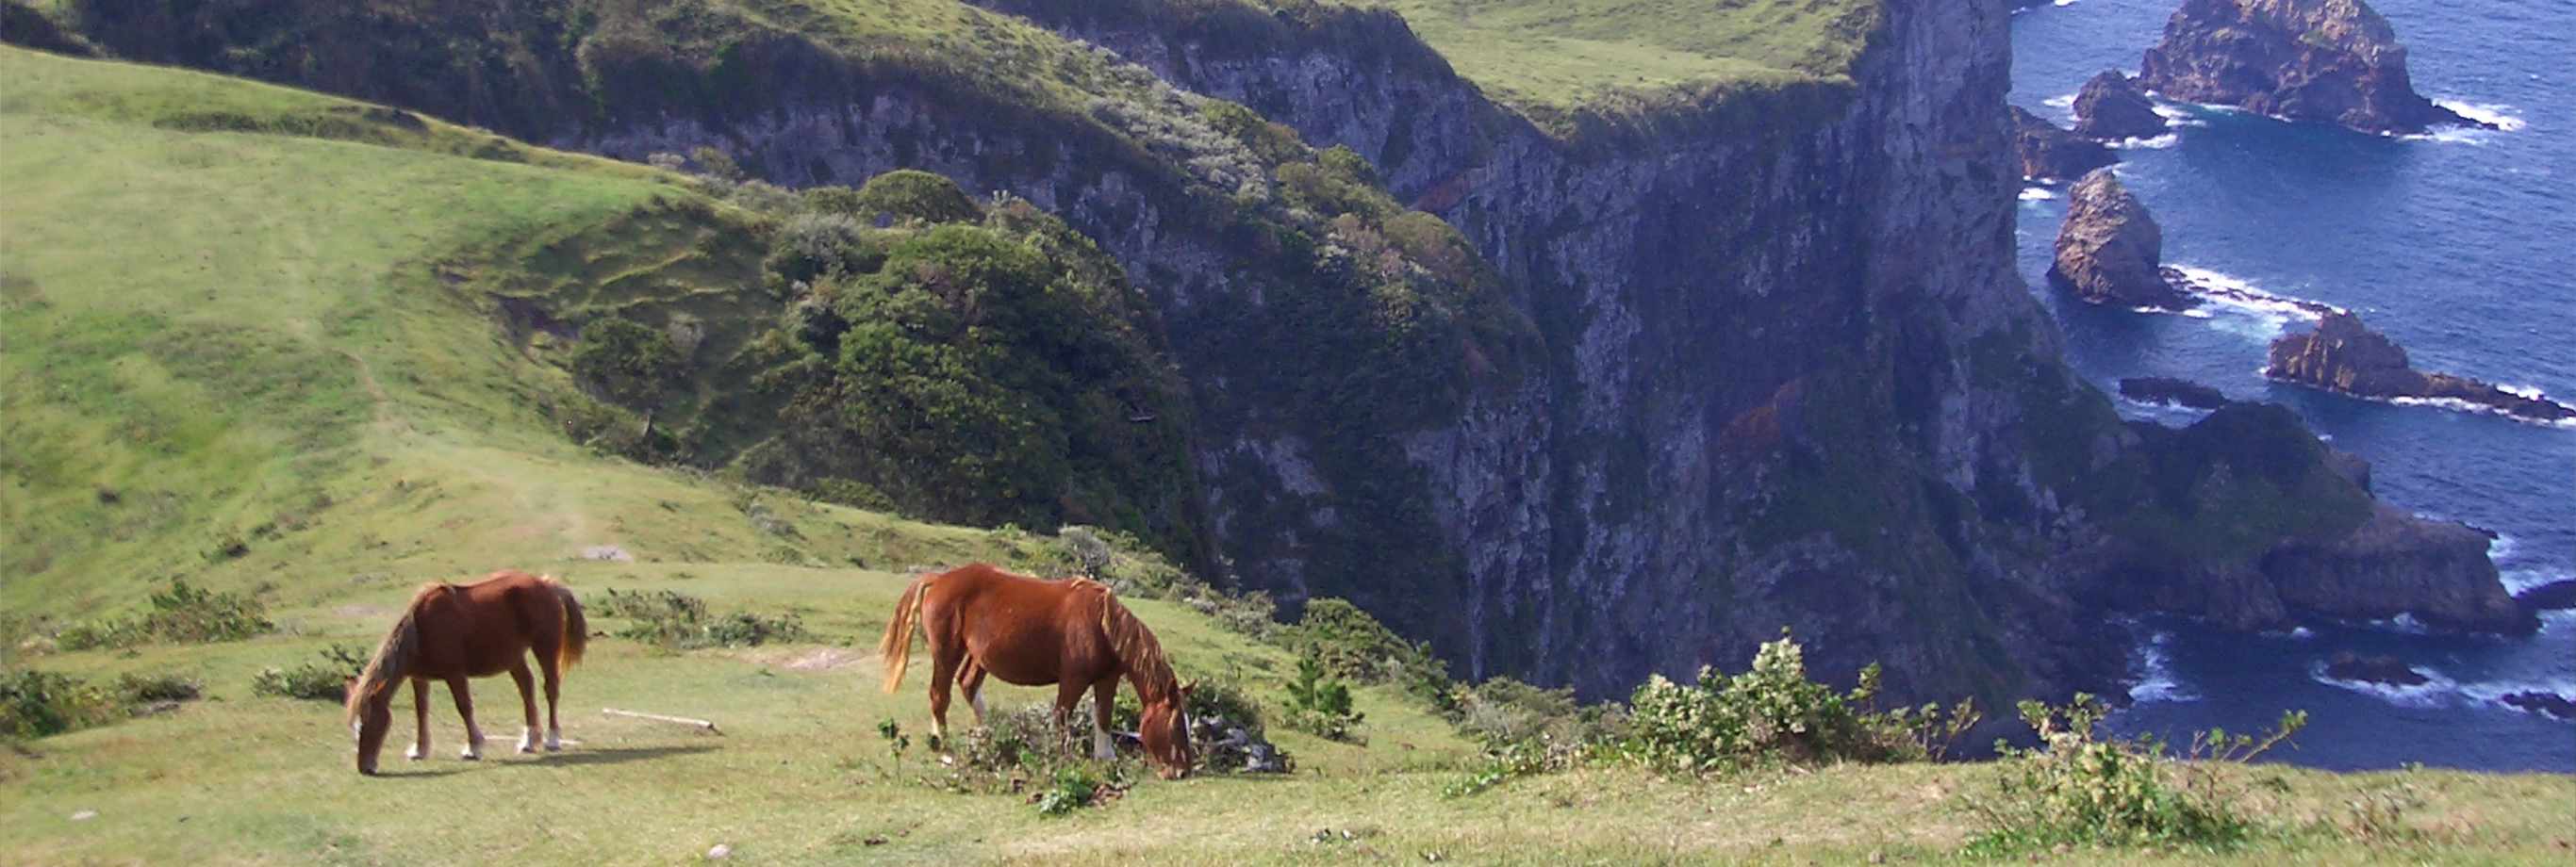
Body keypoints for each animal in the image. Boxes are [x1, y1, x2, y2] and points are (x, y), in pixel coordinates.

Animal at [337, 571, 585, 771]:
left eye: (370, 722)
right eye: (355, 726)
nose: (365, 768)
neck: (422, 629)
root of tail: (547, 584)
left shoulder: (455, 674)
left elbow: (464, 707)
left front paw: (473, 748)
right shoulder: (418, 678)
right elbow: (421, 710)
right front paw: (420, 749)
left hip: (545, 648)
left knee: (551, 689)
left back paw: (553, 739)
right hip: (514, 657)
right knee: (527, 688)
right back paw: (529, 741)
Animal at [875, 561, 1195, 777]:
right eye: (1174, 725)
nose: (1182, 771)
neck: (1102, 623)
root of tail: (938, 579)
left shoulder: (1107, 678)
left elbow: (1103, 716)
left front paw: (1106, 757)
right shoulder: (1073, 679)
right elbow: (1061, 717)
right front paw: (1060, 756)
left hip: (978, 656)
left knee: (968, 684)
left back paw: (989, 734)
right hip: (945, 653)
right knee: (939, 697)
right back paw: (946, 751)